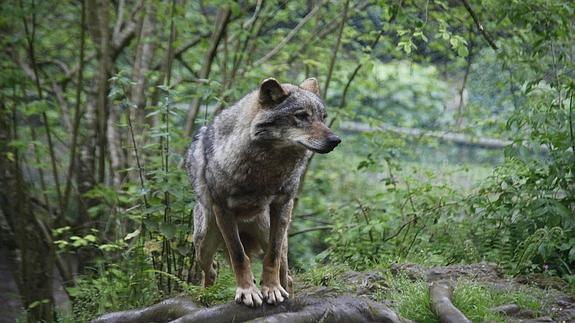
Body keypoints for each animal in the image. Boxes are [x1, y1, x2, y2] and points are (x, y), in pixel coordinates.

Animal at [187, 77, 342, 308]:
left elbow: (272, 258)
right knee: (212, 270)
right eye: (301, 116)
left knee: (287, 274)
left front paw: (271, 290)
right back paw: (206, 298)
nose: (335, 140)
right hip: (203, 245)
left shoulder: (283, 204)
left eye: (323, 118)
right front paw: (248, 292)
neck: (266, 171)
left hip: (274, 236)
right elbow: (239, 257)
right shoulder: (222, 209)